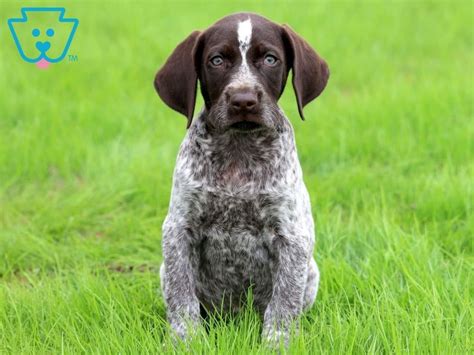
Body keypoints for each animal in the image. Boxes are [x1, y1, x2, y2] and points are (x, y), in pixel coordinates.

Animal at [154, 12, 328, 346]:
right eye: (217, 60)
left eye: (271, 59)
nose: (243, 100)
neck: (239, 149)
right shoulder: (179, 229)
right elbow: (182, 297)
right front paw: (186, 341)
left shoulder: (291, 236)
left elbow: (284, 301)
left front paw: (277, 343)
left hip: (311, 271)